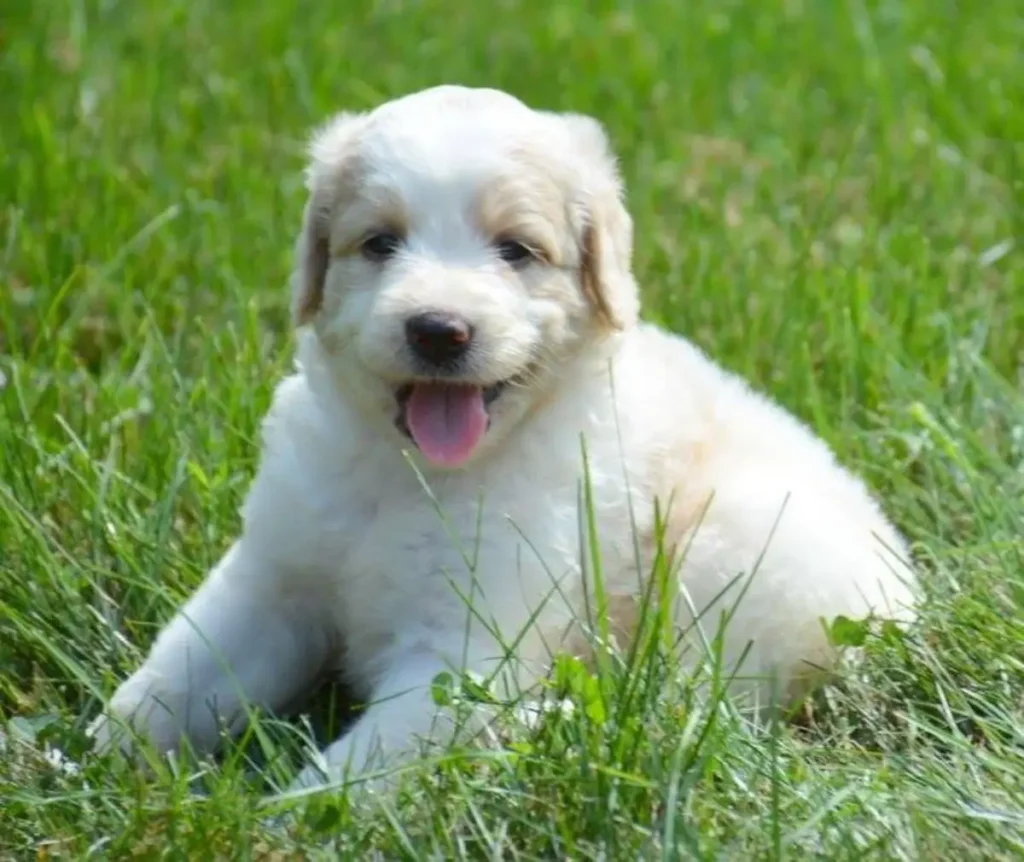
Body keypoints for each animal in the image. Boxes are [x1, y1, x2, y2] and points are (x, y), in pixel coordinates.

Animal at [90, 87, 921, 794]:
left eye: (515, 250)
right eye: (380, 243)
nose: (438, 330)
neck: (407, 471)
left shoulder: (465, 650)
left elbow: (351, 775)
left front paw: (280, 823)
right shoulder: (269, 579)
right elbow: (177, 675)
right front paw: (96, 763)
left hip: (746, 557)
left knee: (680, 714)